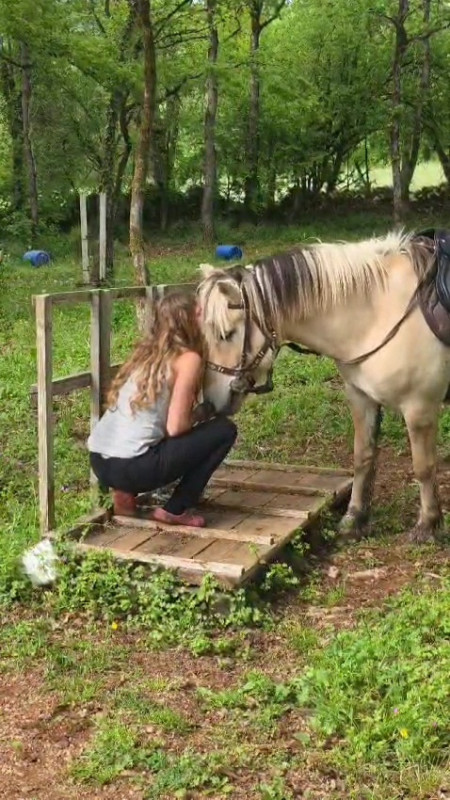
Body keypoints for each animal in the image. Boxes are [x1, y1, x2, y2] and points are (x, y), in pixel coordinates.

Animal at [197, 230, 450, 543]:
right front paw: (353, 520)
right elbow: (362, 458)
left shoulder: (419, 407)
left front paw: (427, 525)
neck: (379, 312)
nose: (210, 402)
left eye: (226, 334)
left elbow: (423, 467)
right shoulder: (361, 397)